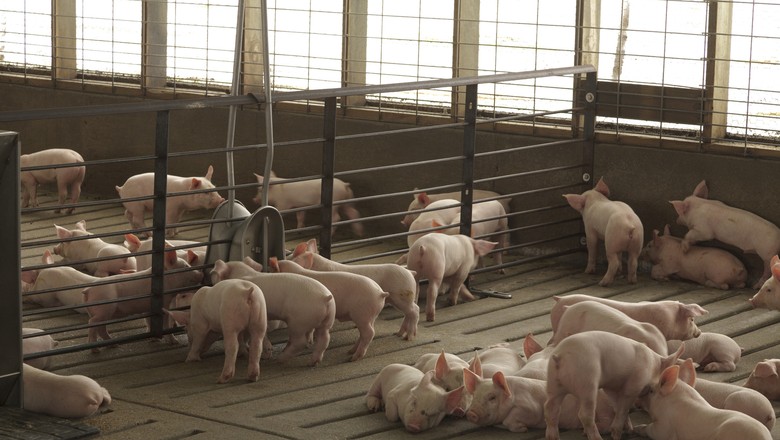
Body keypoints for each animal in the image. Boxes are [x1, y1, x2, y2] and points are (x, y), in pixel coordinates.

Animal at [290, 239, 419, 340]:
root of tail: (410, 272)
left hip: (401, 296)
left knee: (415, 310)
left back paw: (409, 337)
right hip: (397, 300)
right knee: (408, 313)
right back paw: (399, 334)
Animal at [463, 369, 615, 433]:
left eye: (492, 397)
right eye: (474, 396)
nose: (471, 413)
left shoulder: (531, 408)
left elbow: (511, 419)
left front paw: (523, 429)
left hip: (601, 405)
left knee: (607, 421)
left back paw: (585, 431)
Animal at [544, 330, 684, 440]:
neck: (652, 365)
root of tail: (560, 356)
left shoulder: (611, 388)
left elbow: (617, 406)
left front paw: (629, 430)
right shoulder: (635, 383)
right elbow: (623, 408)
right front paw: (617, 434)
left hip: (553, 382)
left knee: (551, 408)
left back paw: (553, 437)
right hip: (587, 381)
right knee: (584, 414)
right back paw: (597, 438)